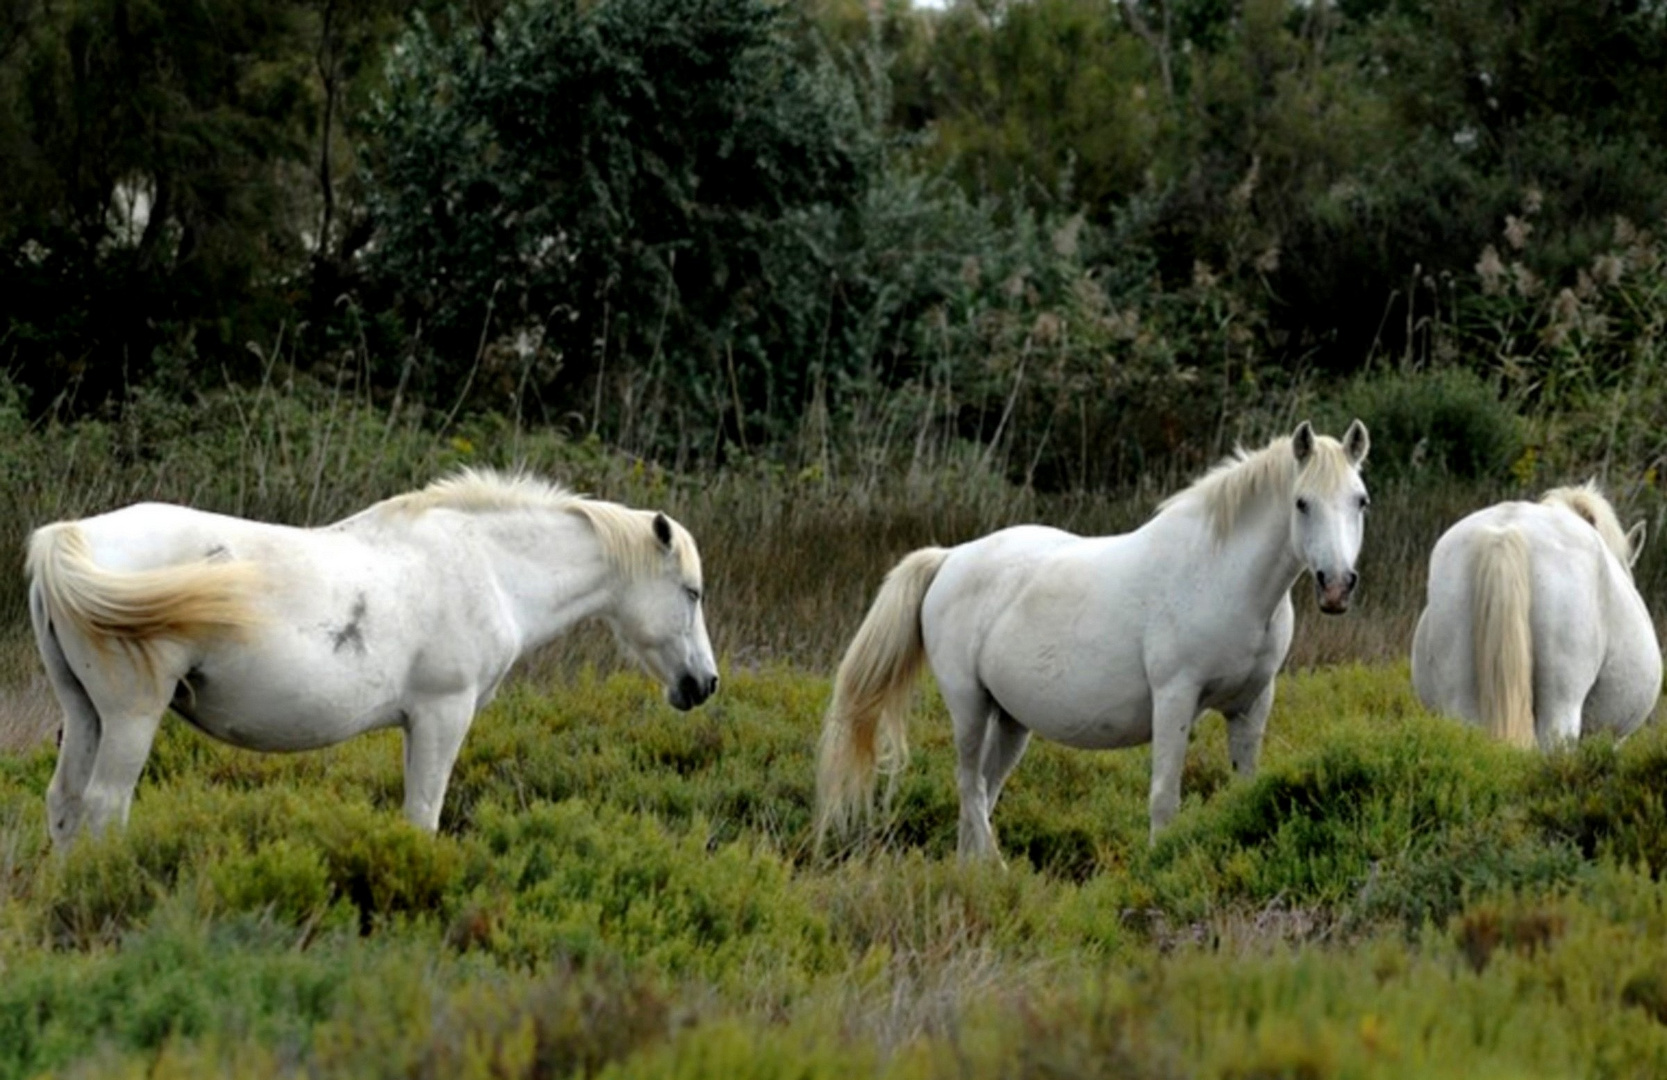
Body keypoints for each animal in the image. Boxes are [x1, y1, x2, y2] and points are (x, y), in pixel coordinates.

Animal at [26, 466, 716, 846]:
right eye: (691, 591)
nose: (704, 684)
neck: (487, 564)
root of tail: (70, 538)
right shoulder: (442, 716)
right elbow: (422, 817)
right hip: (131, 719)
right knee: (103, 808)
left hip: (86, 715)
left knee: (64, 805)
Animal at [813, 418, 1373, 853]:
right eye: (1301, 503)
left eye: (1360, 501)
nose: (1337, 586)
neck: (1220, 574)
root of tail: (950, 558)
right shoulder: (1175, 698)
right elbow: (1164, 797)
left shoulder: (1252, 704)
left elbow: (1244, 788)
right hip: (968, 706)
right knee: (969, 786)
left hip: (1010, 720)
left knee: (983, 792)